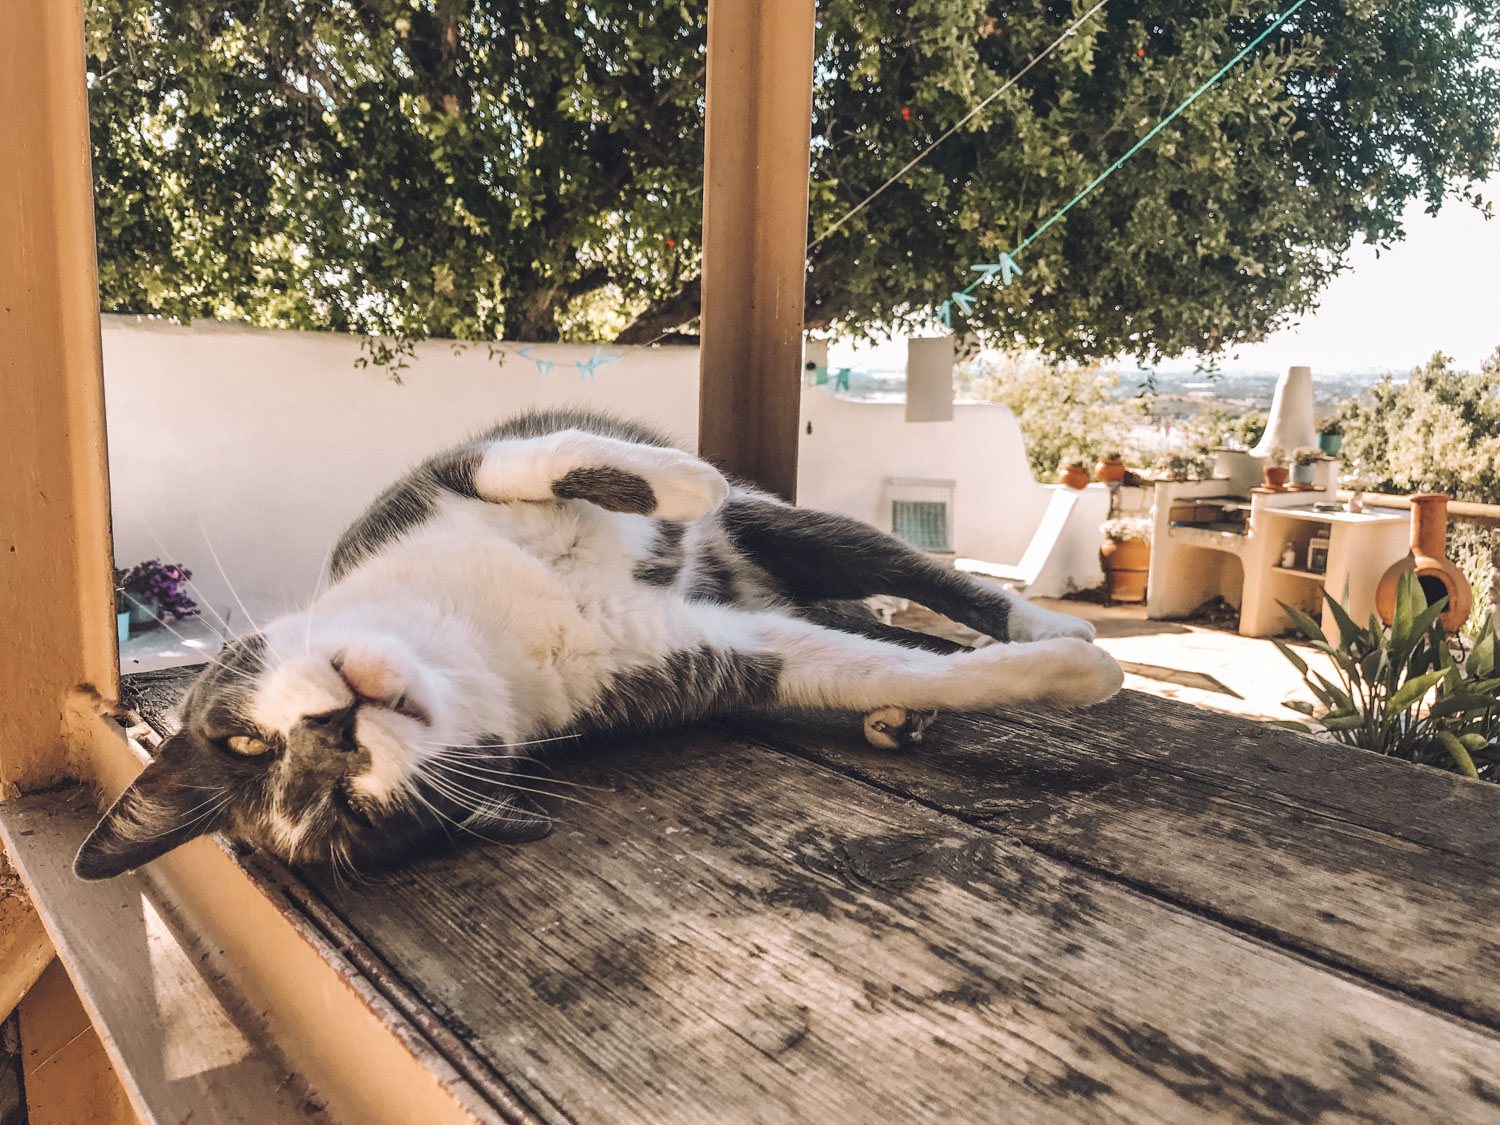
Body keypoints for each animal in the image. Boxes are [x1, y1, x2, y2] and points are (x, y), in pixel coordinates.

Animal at [76, 409, 1121, 880]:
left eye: (245, 741)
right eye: (347, 811)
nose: (333, 736)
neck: (473, 634)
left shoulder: (431, 484)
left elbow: (540, 457)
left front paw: (686, 481)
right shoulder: (704, 660)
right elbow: (844, 668)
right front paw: (1068, 678)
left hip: (798, 533)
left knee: (911, 573)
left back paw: (1049, 618)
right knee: (859, 629)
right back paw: (911, 707)